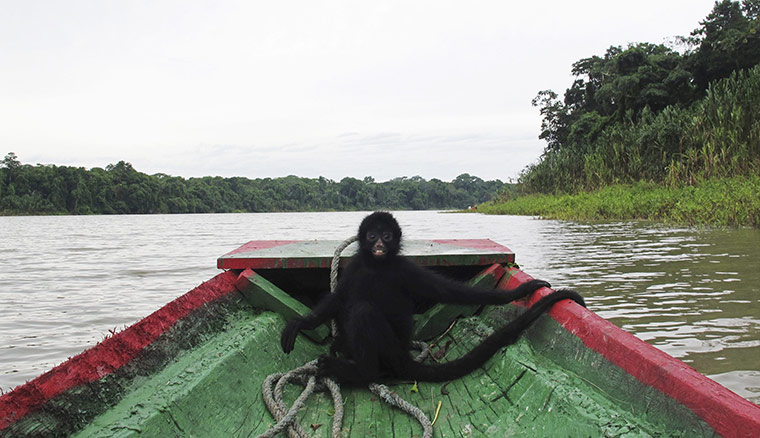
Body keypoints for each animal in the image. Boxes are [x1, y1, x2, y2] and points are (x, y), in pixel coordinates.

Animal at [281, 211, 585, 385]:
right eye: (372, 235)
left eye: (387, 236)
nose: (378, 243)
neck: (378, 266)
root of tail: (403, 358)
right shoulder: (356, 267)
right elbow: (338, 299)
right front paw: (299, 324)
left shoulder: (407, 269)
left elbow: (450, 291)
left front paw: (519, 291)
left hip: (390, 348)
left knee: (363, 311)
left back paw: (361, 373)